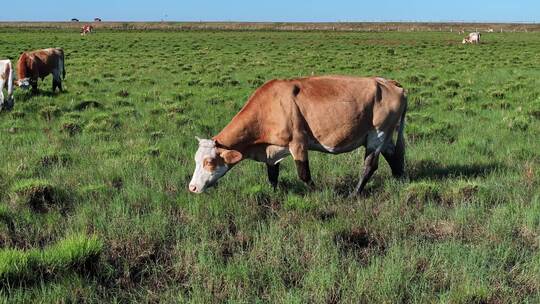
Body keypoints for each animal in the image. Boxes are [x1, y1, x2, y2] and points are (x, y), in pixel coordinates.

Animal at [189, 75, 404, 196]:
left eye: (209, 162)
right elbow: (272, 176)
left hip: (377, 134)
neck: (270, 106)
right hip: (383, 137)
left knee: (369, 166)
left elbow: (304, 175)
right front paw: (274, 195)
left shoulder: (298, 143)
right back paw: (399, 180)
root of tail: (388, 82)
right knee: (394, 156)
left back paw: (354, 194)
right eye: (196, 160)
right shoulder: (272, 149)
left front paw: (318, 194)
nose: (192, 187)